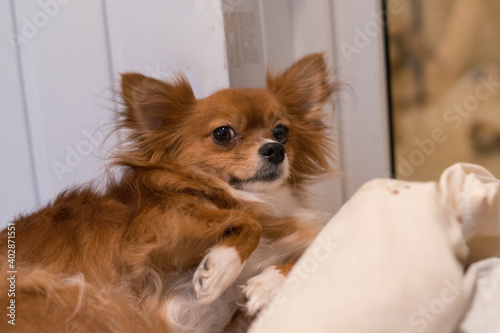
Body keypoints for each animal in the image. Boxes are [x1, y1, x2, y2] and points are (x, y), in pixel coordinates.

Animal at [0, 53, 336, 330]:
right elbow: (247, 222)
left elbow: (306, 253)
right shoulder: (151, 235)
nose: (275, 149)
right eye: (223, 133)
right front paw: (218, 269)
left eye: (281, 131)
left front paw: (266, 283)